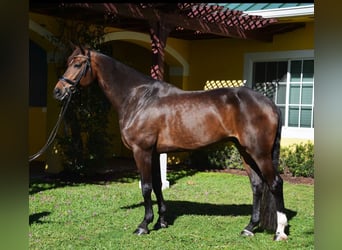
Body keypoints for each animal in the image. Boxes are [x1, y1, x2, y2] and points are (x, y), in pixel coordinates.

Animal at [53, 46, 288, 240]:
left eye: (77, 64)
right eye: (68, 62)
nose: (58, 91)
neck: (139, 99)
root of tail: (270, 104)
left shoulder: (142, 151)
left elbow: (146, 187)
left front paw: (144, 225)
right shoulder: (155, 152)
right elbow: (158, 186)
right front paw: (162, 221)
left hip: (259, 153)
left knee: (275, 183)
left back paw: (280, 232)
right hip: (245, 151)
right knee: (257, 185)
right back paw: (249, 228)